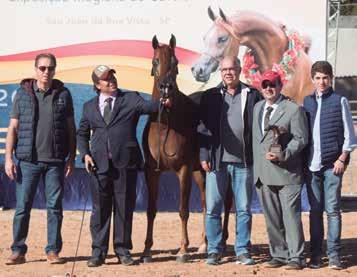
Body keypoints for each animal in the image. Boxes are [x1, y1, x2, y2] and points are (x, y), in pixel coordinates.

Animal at [140, 35, 206, 264]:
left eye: (176, 62)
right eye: (155, 61)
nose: (166, 88)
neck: (165, 125)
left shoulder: (183, 170)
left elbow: (183, 210)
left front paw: (183, 250)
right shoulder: (151, 172)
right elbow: (151, 210)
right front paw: (146, 251)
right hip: (200, 171)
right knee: (205, 203)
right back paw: (204, 244)